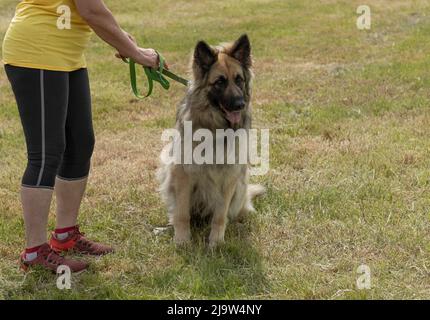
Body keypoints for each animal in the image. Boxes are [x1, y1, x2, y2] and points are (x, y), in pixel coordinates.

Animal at [158, 34, 266, 248]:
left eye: (239, 80)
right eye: (220, 82)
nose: (240, 104)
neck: (215, 129)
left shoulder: (229, 178)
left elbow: (220, 216)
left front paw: (216, 242)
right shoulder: (182, 174)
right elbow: (182, 214)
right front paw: (182, 240)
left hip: (240, 185)